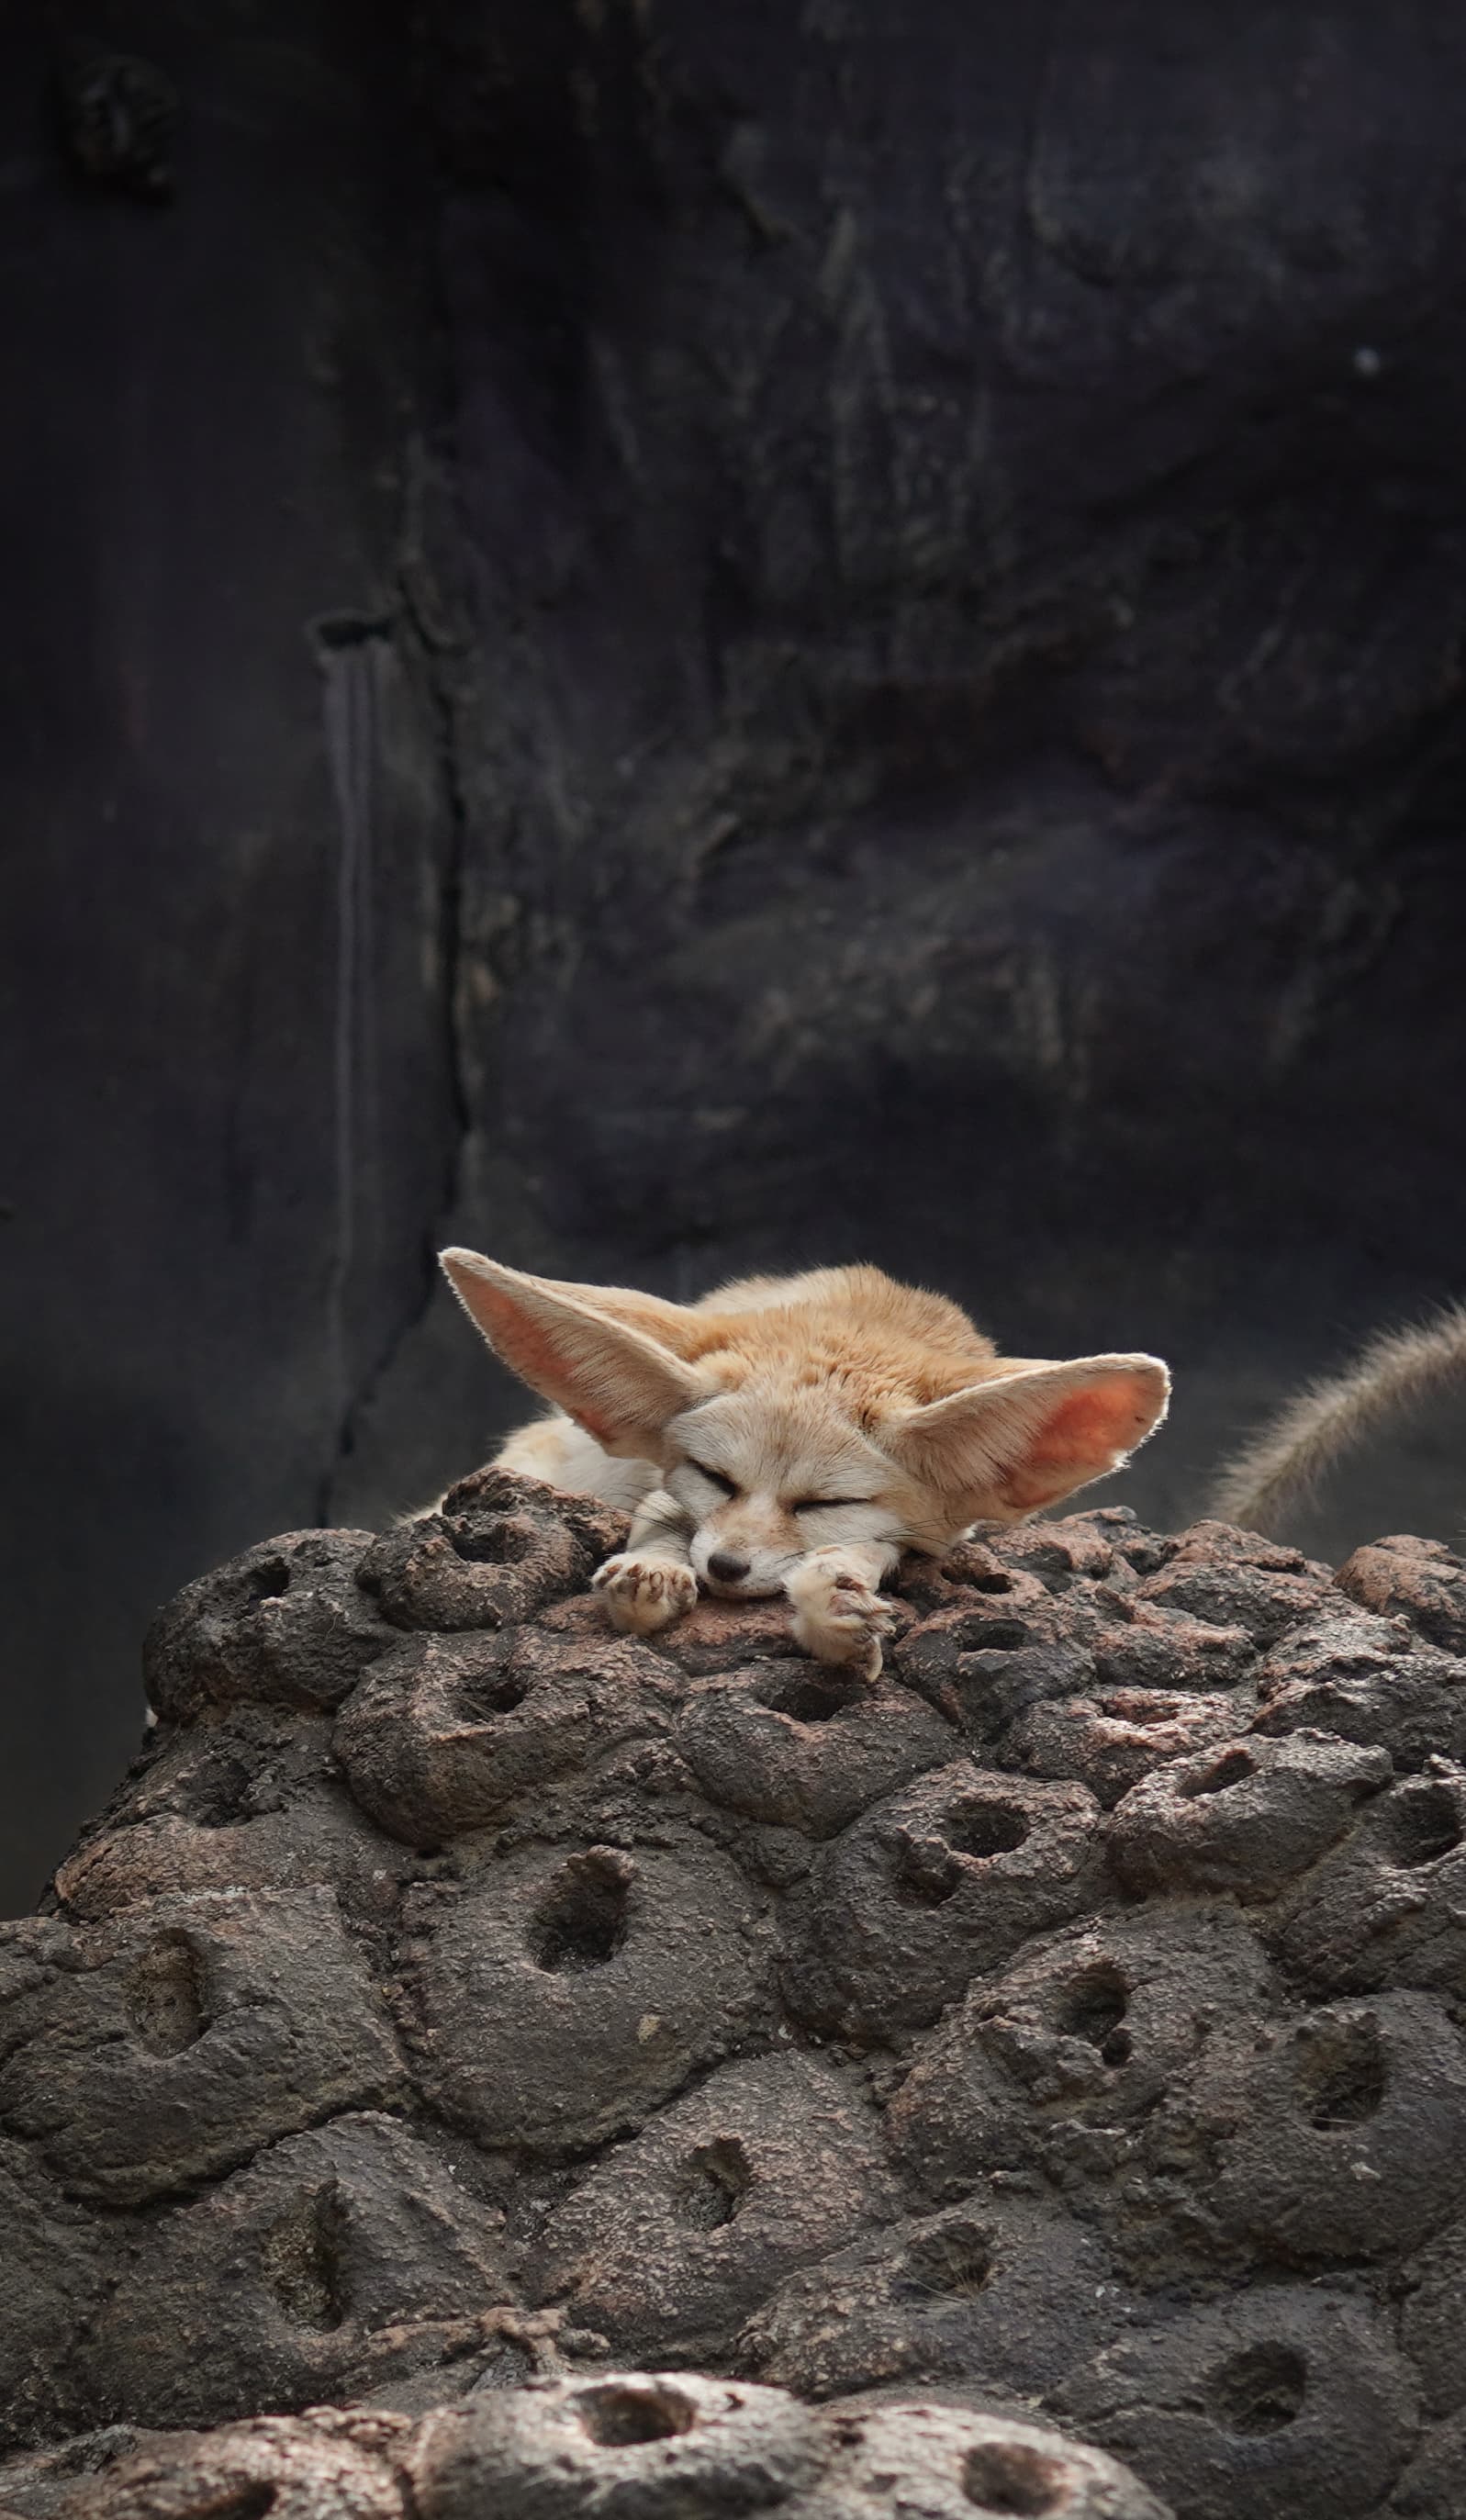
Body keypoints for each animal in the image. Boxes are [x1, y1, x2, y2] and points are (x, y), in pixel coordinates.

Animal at [439, 1249, 1171, 1678]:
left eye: (827, 1504)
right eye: (715, 1478)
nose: (725, 1568)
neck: (856, 1315)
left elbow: (869, 1556)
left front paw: (835, 1597)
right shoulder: (659, 1482)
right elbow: (661, 1513)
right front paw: (652, 1570)